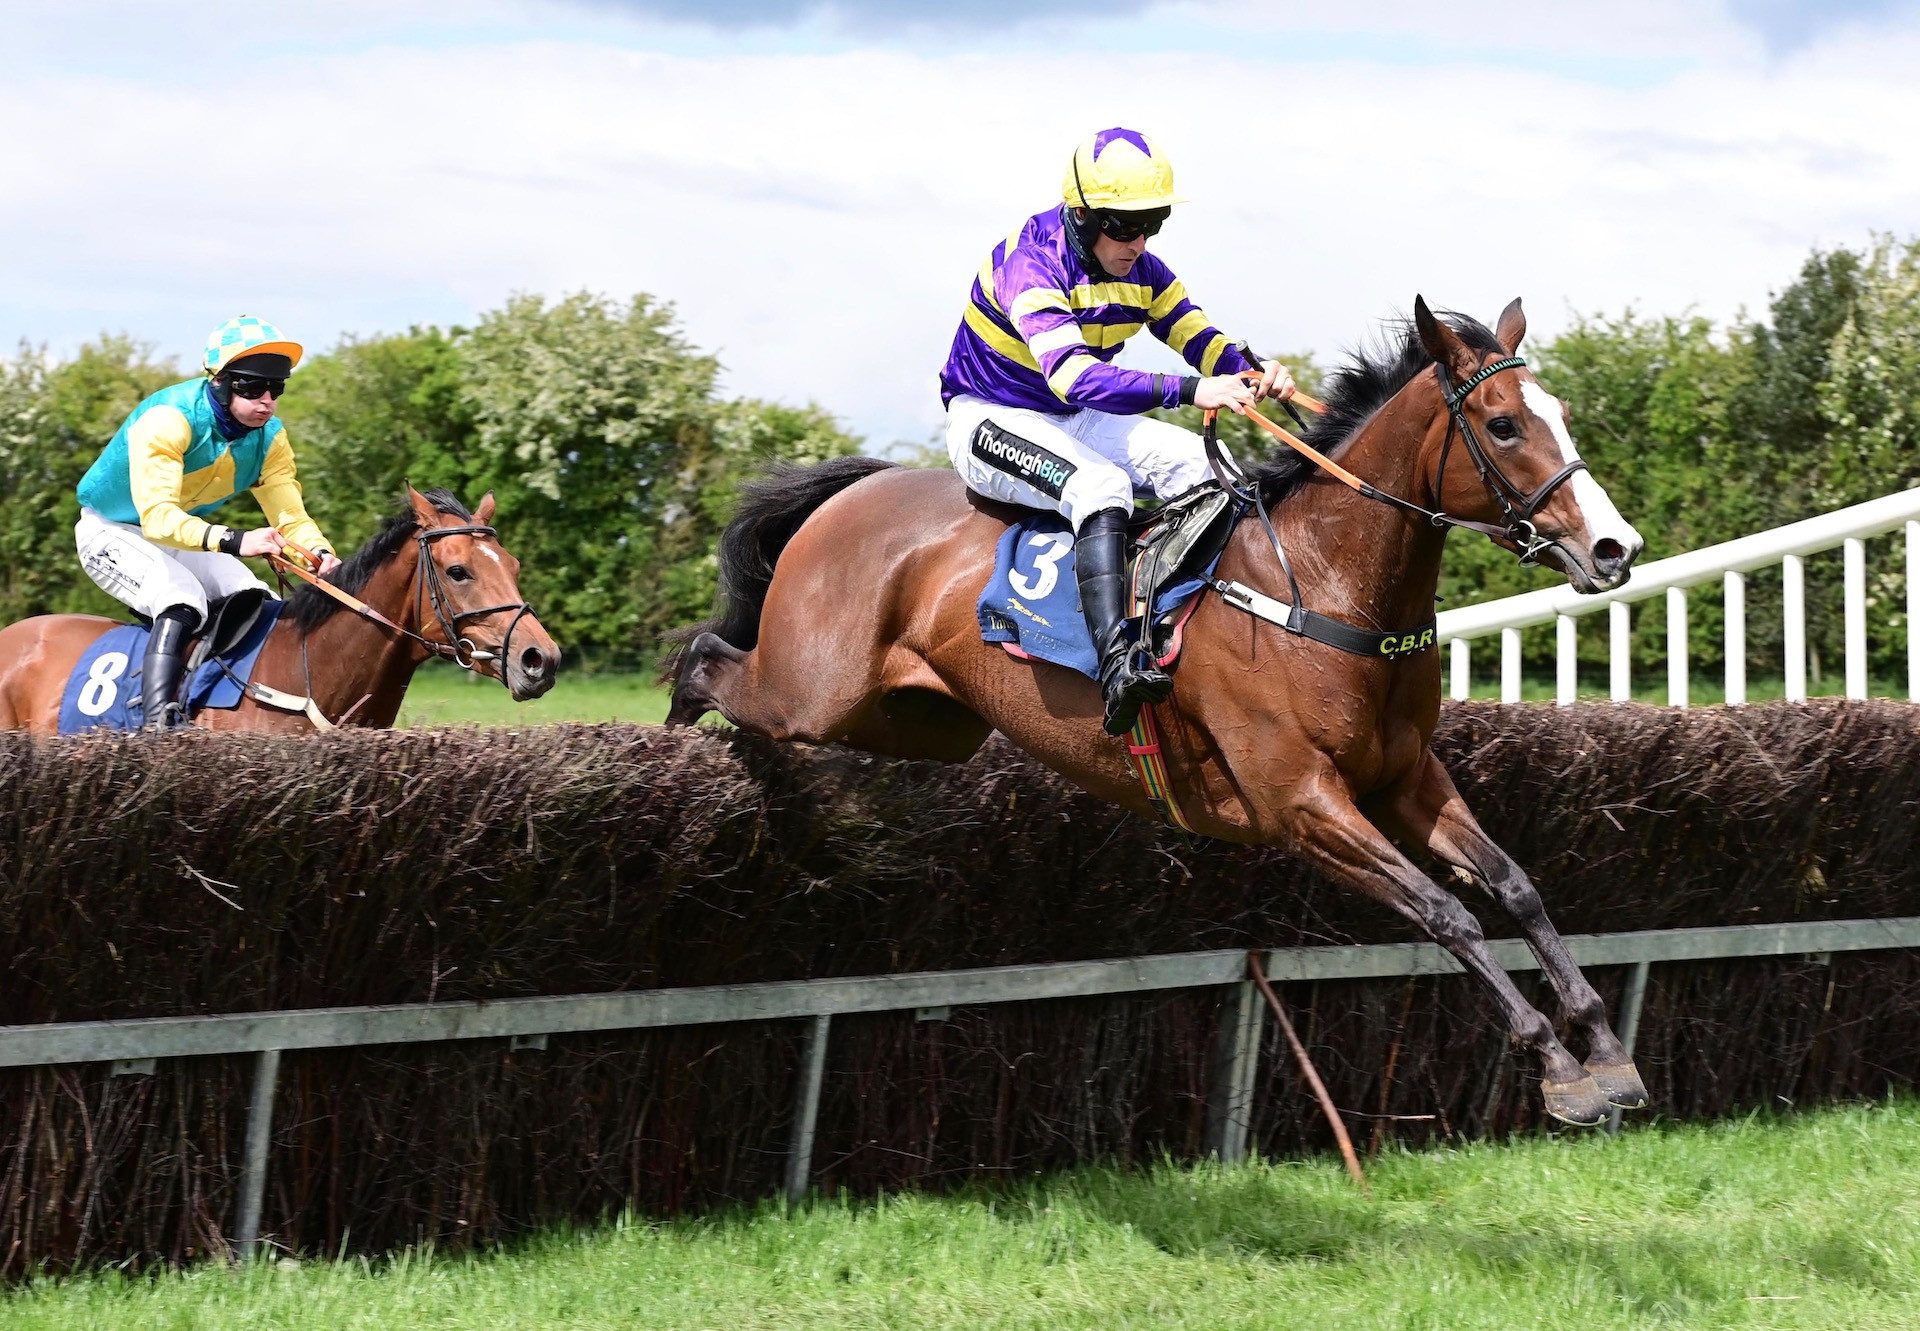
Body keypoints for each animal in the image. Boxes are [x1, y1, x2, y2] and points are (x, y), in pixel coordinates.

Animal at [672, 297, 1651, 1121]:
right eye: (1504, 424)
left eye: (1561, 411)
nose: (1616, 547)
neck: (1324, 583)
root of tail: (857, 489)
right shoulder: (1301, 802)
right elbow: (1446, 911)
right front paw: (1555, 1063)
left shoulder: (1405, 776)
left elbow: (1513, 883)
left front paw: (1606, 1049)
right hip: (813, 690)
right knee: (705, 660)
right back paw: (682, 737)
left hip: (920, 723)